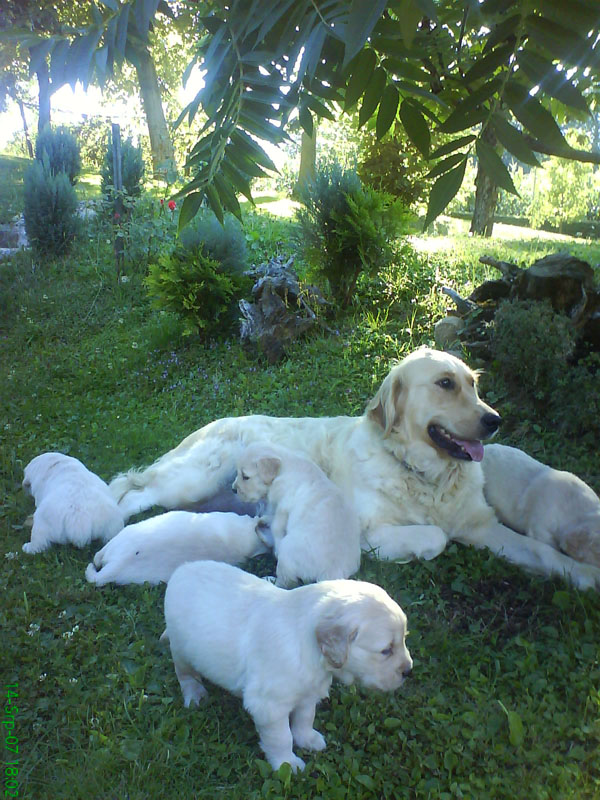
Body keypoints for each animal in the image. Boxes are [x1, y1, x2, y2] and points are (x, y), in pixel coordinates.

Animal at [163, 560, 412, 772]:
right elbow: (282, 737)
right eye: (386, 650)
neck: (309, 646)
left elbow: (305, 717)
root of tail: (180, 570)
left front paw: (308, 739)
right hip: (181, 649)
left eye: (403, 639)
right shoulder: (269, 705)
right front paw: (287, 764)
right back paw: (195, 695)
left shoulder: (308, 692)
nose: (409, 671)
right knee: (185, 674)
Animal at [232, 440, 358, 584]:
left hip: (287, 553)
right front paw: (265, 519)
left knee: (286, 582)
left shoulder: (283, 505)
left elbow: (276, 526)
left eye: (245, 477)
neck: (284, 467)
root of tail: (332, 573)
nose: (233, 489)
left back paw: (269, 578)